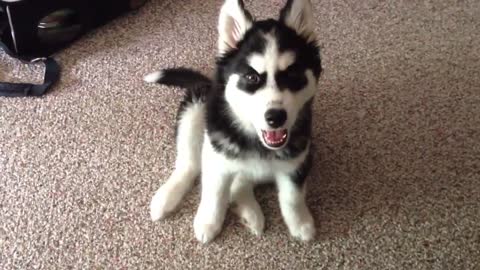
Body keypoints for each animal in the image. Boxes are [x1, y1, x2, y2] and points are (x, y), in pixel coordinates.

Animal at [144, 0, 320, 244]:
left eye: (293, 75)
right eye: (252, 77)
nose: (275, 117)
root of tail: (208, 83)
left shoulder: (298, 158)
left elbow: (292, 196)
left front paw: (300, 223)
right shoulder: (216, 158)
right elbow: (215, 193)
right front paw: (208, 222)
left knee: (239, 183)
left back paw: (250, 213)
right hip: (195, 110)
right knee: (188, 164)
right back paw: (166, 198)